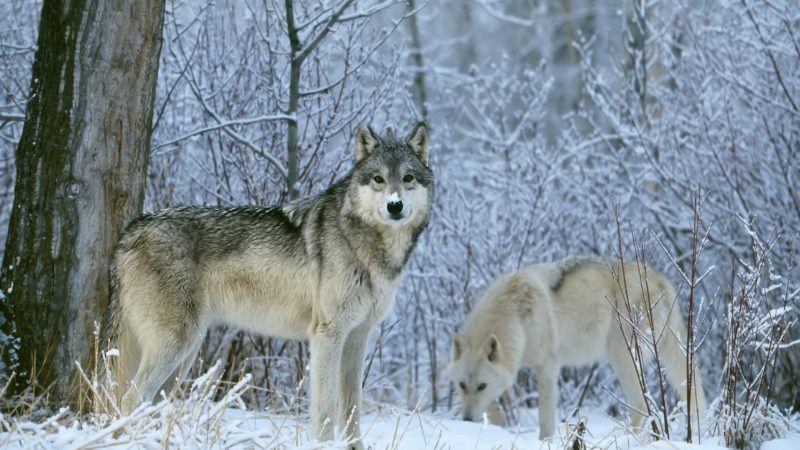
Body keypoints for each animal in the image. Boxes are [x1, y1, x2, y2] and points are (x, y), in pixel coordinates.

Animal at [446, 258, 708, 438]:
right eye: (461, 385)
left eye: (481, 386)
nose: (466, 420)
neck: (515, 316)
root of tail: (659, 278)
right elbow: (494, 405)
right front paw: (498, 423)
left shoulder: (548, 366)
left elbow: (545, 418)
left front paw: (544, 442)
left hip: (623, 358)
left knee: (642, 405)